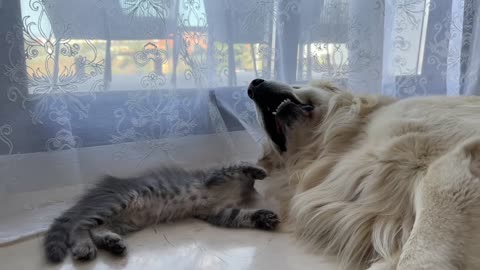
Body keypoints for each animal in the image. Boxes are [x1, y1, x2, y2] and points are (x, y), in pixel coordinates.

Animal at [46, 161, 278, 262]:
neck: (240, 191)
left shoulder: (218, 212)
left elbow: (241, 215)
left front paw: (264, 217)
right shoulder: (213, 177)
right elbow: (237, 166)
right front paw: (258, 170)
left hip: (124, 221)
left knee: (96, 229)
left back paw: (113, 243)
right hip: (117, 202)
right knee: (79, 225)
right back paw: (84, 247)